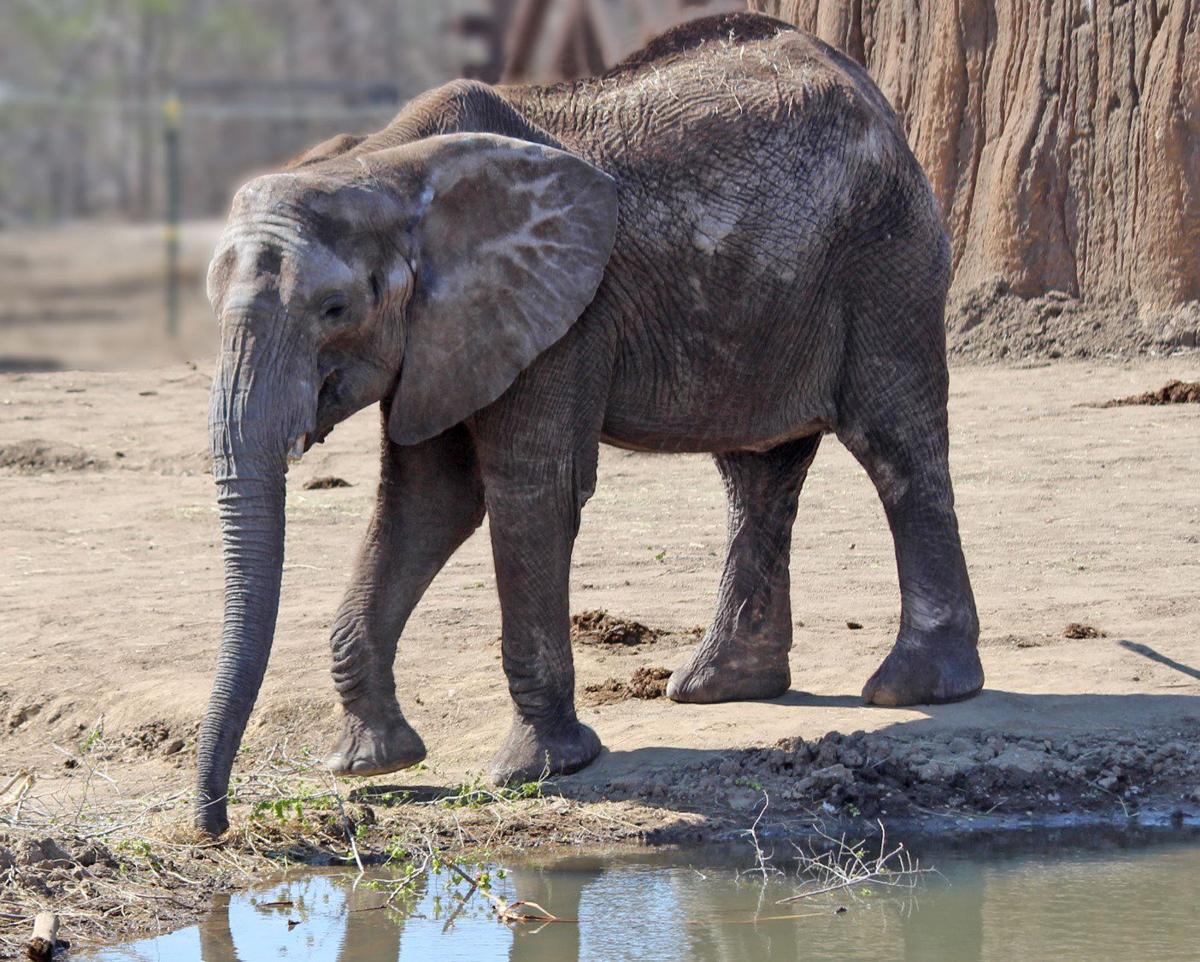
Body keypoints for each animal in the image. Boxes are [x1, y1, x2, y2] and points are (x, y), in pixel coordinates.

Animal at [196, 11, 984, 830]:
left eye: (334, 308)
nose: (215, 823)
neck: (383, 164)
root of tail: (868, 90)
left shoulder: (560, 315)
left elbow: (529, 493)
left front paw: (538, 770)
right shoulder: (445, 334)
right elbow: (427, 501)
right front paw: (370, 763)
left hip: (887, 254)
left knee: (893, 444)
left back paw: (912, 689)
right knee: (757, 471)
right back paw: (717, 686)